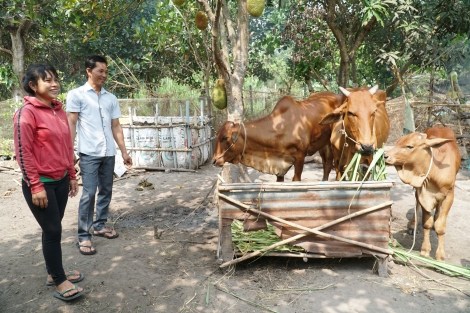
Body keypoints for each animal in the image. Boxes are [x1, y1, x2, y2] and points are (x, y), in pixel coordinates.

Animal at [212, 91, 342, 180]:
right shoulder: (279, 167)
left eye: (225, 137)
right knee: (326, 165)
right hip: (323, 145)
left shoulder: (300, 157)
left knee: (333, 166)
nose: (214, 161)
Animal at [384, 125, 460, 260]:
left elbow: (440, 226)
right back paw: (412, 225)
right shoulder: (423, 193)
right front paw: (425, 250)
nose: (385, 156)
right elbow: (426, 223)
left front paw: (440, 256)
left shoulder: (449, 196)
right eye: (398, 142)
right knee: (417, 205)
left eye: (409, 146)